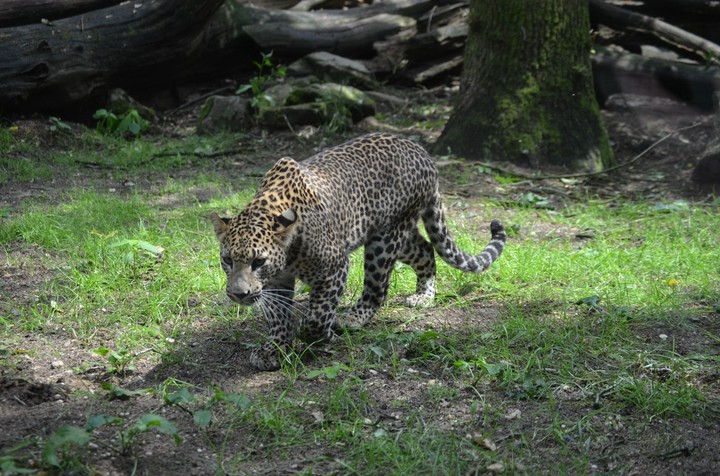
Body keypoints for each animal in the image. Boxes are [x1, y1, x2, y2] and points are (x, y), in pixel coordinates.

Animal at [210, 132, 506, 371]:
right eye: (227, 260)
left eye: (258, 261)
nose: (238, 295)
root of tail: (423, 153)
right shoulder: (275, 281)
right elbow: (278, 316)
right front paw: (275, 348)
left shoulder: (334, 268)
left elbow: (318, 316)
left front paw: (318, 334)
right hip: (395, 234)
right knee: (425, 250)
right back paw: (424, 295)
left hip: (384, 240)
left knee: (377, 289)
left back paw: (352, 318)